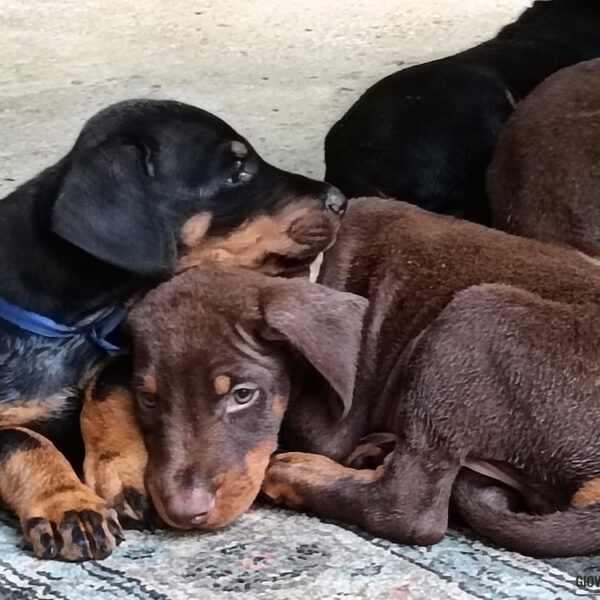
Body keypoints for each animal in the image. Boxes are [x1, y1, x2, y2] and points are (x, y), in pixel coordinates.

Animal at [0, 96, 344, 560]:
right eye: (236, 172)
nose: (340, 198)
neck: (76, 323)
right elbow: (23, 441)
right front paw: (68, 505)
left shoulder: (122, 352)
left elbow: (108, 389)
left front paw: (125, 473)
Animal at [86, 200, 600, 556]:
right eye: (149, 400)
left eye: (243, 395)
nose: (184, 512)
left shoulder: (335, 421)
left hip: (474, 318)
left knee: (408, 508)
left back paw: (299, 473)